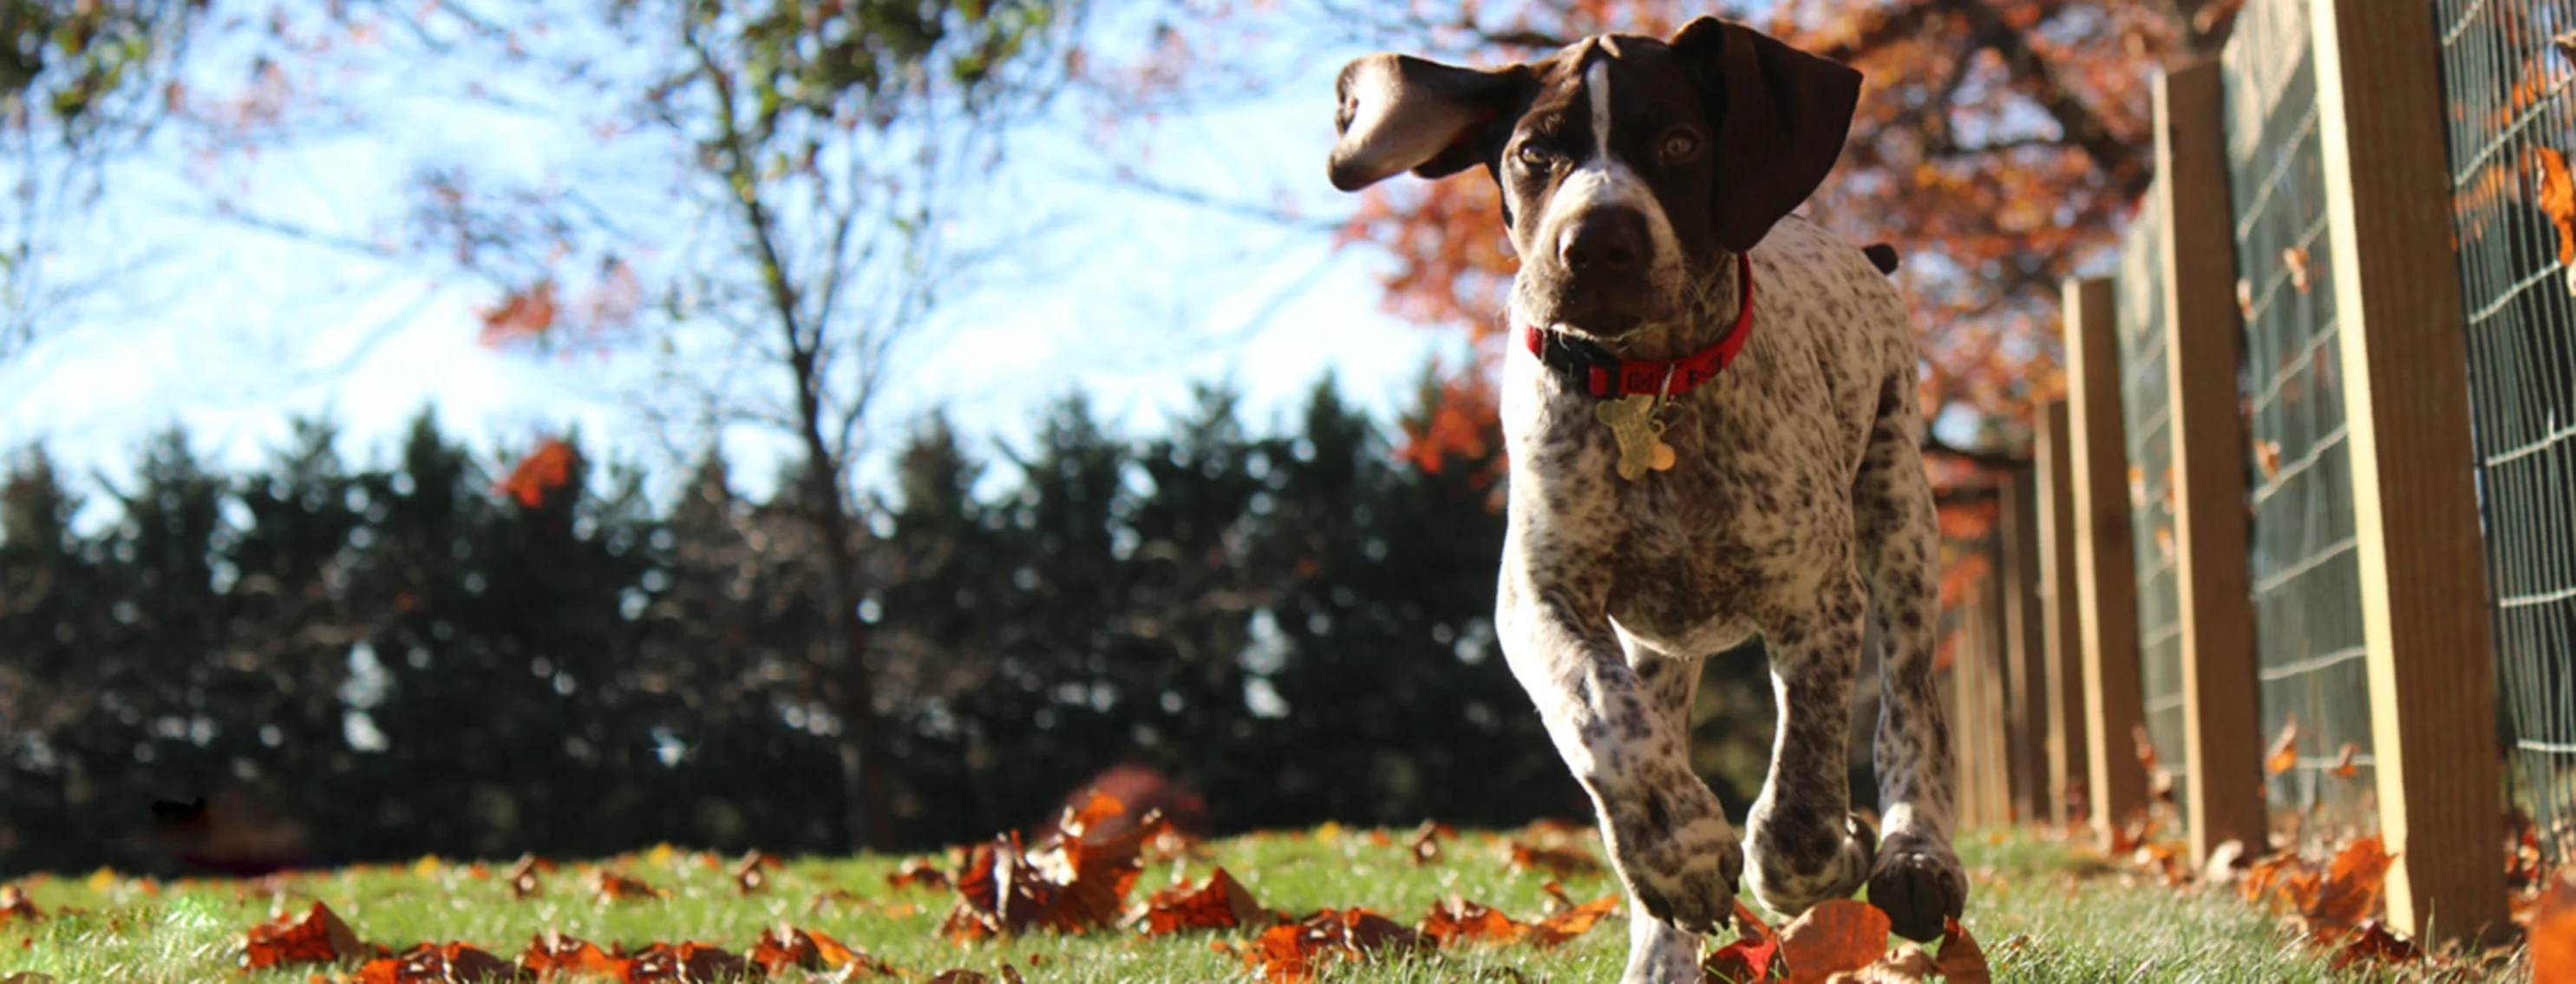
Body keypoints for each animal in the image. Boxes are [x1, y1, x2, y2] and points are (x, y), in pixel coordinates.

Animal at [1329, 16, 1968, 984]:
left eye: (1677, 144)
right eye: (1534, 152)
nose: (1596, 244)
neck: (1649, 384)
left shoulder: (1816, 600)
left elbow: (1800, 805)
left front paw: (1836, 853)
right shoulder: (1541, 597)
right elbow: (1602, 719)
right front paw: (1682, 856)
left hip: (1899, 517)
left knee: (1910, 705)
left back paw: (1916, 855)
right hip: (1662, 646)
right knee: (1648, 726)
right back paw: (1663, 946)